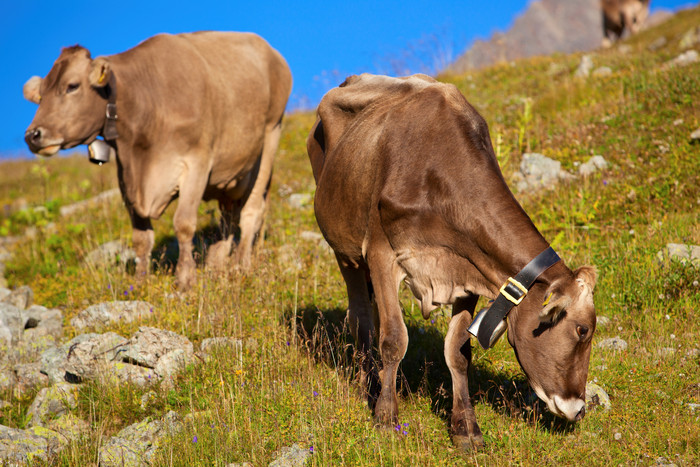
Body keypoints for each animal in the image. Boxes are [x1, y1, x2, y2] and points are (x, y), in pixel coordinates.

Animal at [23, 32, 292, 288]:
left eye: (72, 86)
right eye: (41, 95)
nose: (33, 135)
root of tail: (272, 53)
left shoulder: (197, 163)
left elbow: (183, 224)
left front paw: (185, 280)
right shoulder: (127, 177)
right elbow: (141, 237)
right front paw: (141, 282)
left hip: (271, 135)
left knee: (251, 212)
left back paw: (240, 266)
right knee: (228, 218)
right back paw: (216, 266)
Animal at [308, 75, 600, 452]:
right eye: (582, 331)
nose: (579, 408)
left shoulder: (467, 270)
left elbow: (458, 352)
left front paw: (466, 428)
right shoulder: (381, 254)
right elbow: (393, 340)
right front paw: (386, 418)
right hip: (345, 249)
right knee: (362, 320)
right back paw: (366, 385)